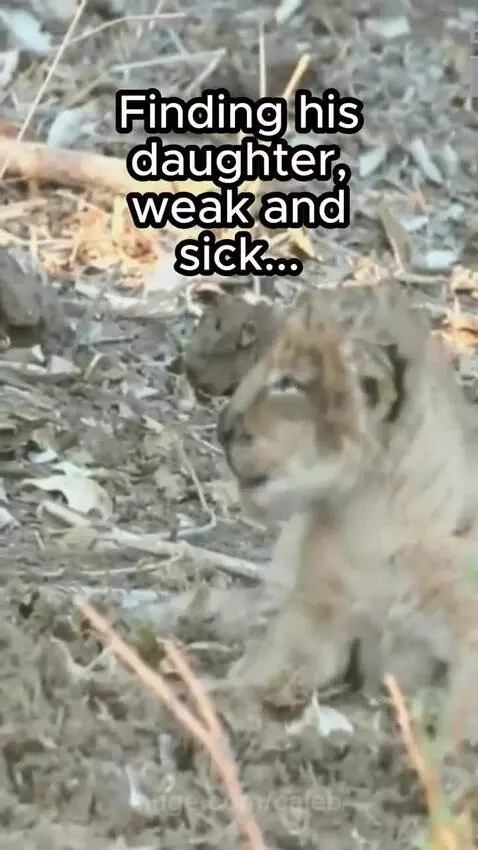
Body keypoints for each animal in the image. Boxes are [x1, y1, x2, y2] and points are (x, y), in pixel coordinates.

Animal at [216, 279, 478, 749]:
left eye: (288, 383)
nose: (221, 427)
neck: (376, 517)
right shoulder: (317, 609)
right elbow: (273, 655)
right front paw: (221, 692)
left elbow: (465, 712)